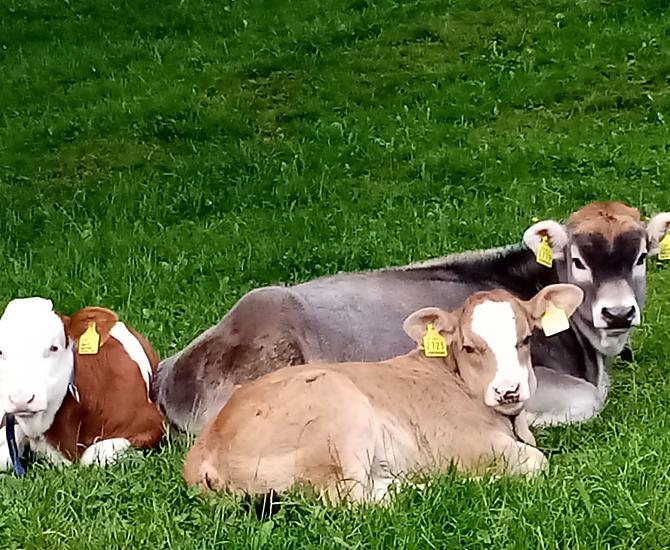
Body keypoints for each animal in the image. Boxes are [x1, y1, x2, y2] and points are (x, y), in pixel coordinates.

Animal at [183, 284, 584, 503]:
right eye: (470, 347)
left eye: (526, 339)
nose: (508, 390)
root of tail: (204, 451)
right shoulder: (469, 444)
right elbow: (536, 462)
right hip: (338, 418)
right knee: (353, 498)